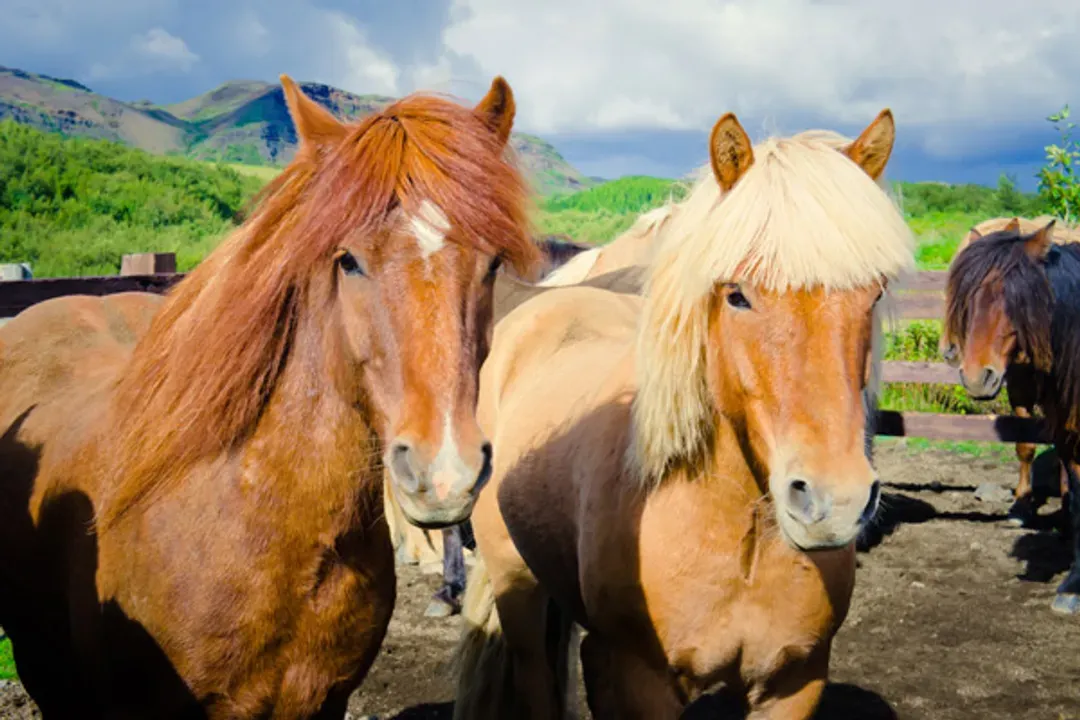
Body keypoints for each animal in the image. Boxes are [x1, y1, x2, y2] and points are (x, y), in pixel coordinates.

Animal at [451, 108, 915, 719]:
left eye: (874, 293)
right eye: (736, 294)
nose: (832, 503)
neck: (741, 537)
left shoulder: (795, 683)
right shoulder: (635, 679)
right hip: (518, 587)